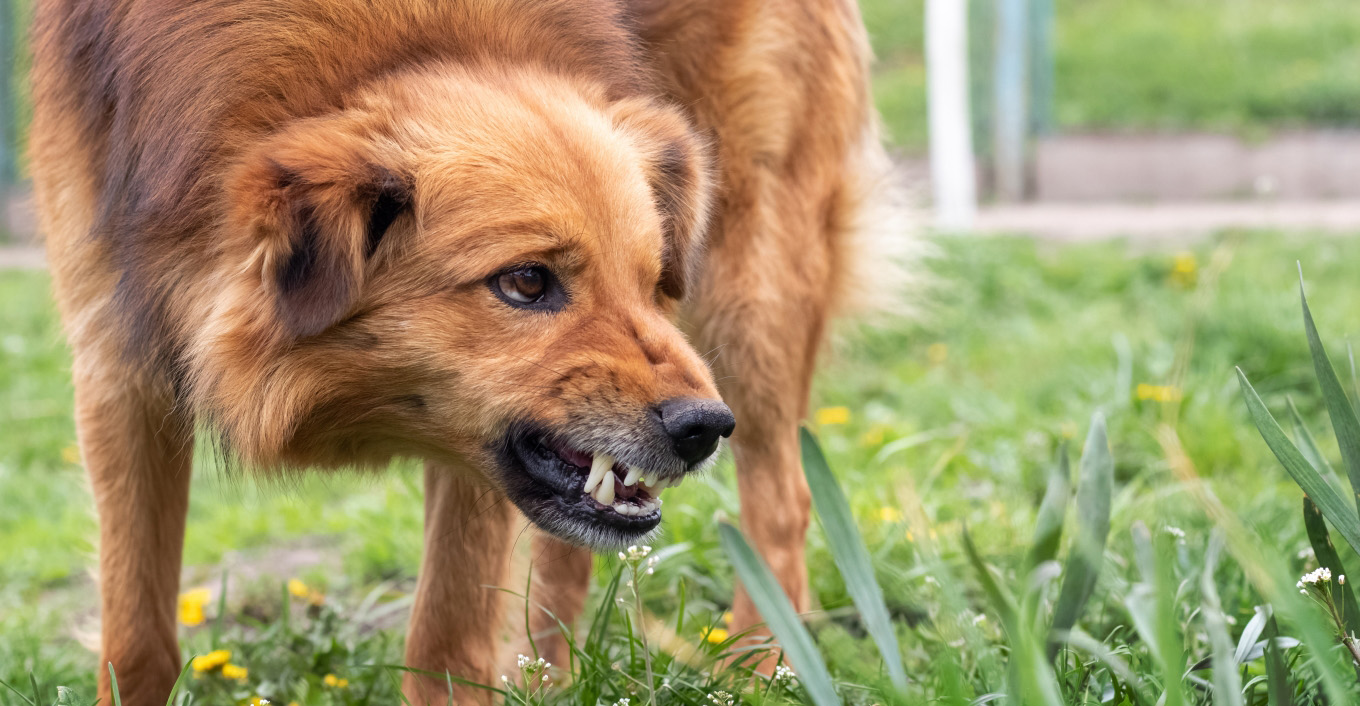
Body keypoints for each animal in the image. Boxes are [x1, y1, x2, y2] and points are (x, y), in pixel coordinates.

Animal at [26, 0, 897, 701]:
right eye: (526, 281)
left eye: (652, 281)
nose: (703, 428)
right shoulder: (117, 366)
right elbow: (136, 637)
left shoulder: (479, 450)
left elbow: (446, 641)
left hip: (753, 287)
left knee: (782, 502)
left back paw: (763, 670)